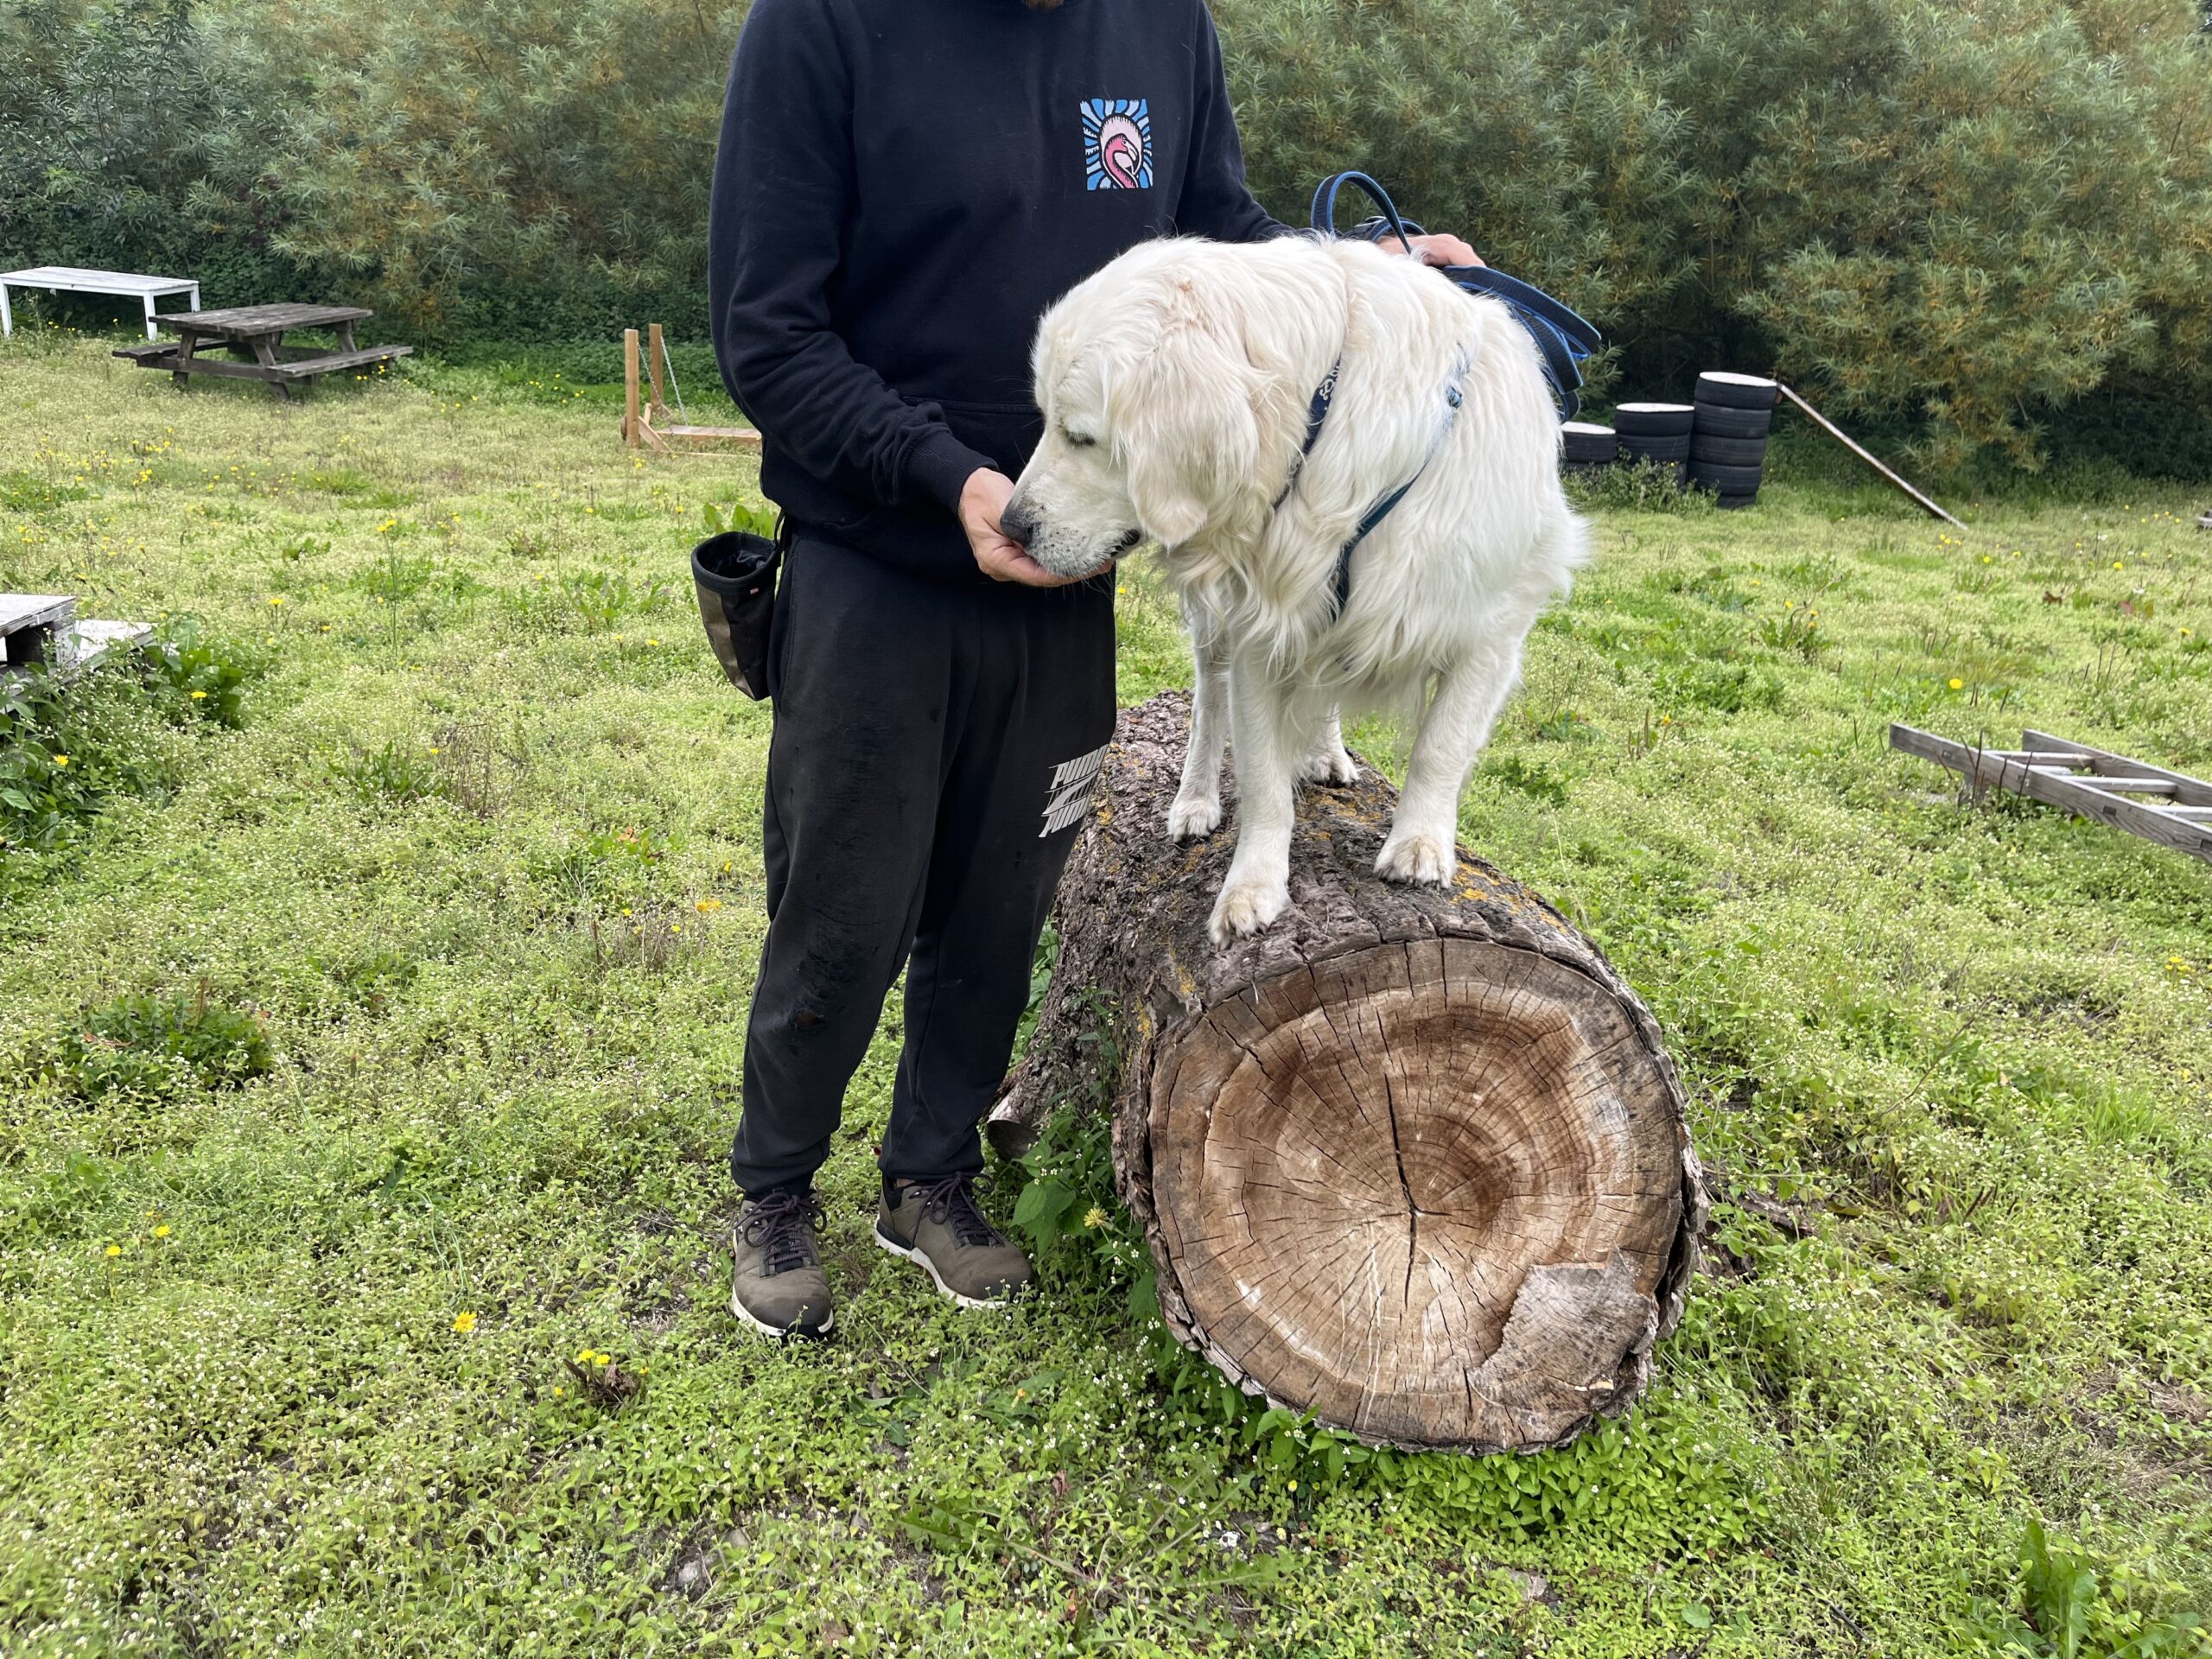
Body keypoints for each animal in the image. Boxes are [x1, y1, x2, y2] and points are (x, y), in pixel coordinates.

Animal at [1004, 231, 1592, 946]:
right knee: (1208, 703)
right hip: (1217, 632)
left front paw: (1420, 845)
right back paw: (1196, 798)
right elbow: (1262, 777)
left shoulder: (1491, 628)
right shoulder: (1259, 630)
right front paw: (1251, 887)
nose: (1008, 526)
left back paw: (1325, 752)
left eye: (1080, 436)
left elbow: (1441, 748)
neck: (1325, 421)